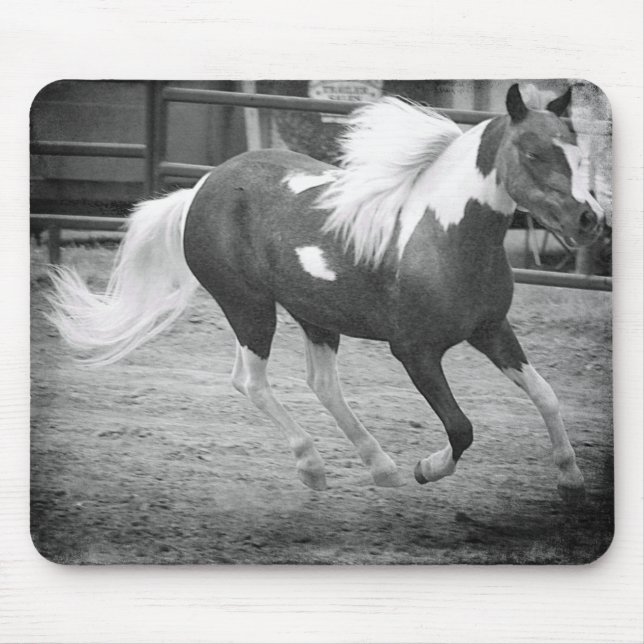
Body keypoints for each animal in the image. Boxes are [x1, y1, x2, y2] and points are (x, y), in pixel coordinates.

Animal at [48, 84, 604, 501]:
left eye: (581, 152)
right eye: (533, 152)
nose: (589, 219)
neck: (442, 236)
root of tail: (197, 190)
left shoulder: (491, 330)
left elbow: (547, 396)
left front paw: (571, 479)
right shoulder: (415, 352)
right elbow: (461, 428)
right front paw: (426, 468)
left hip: (312, 314)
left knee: (320, 384)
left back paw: (381, 467)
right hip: (249, 307)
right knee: (251, 382)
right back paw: (315, 467)